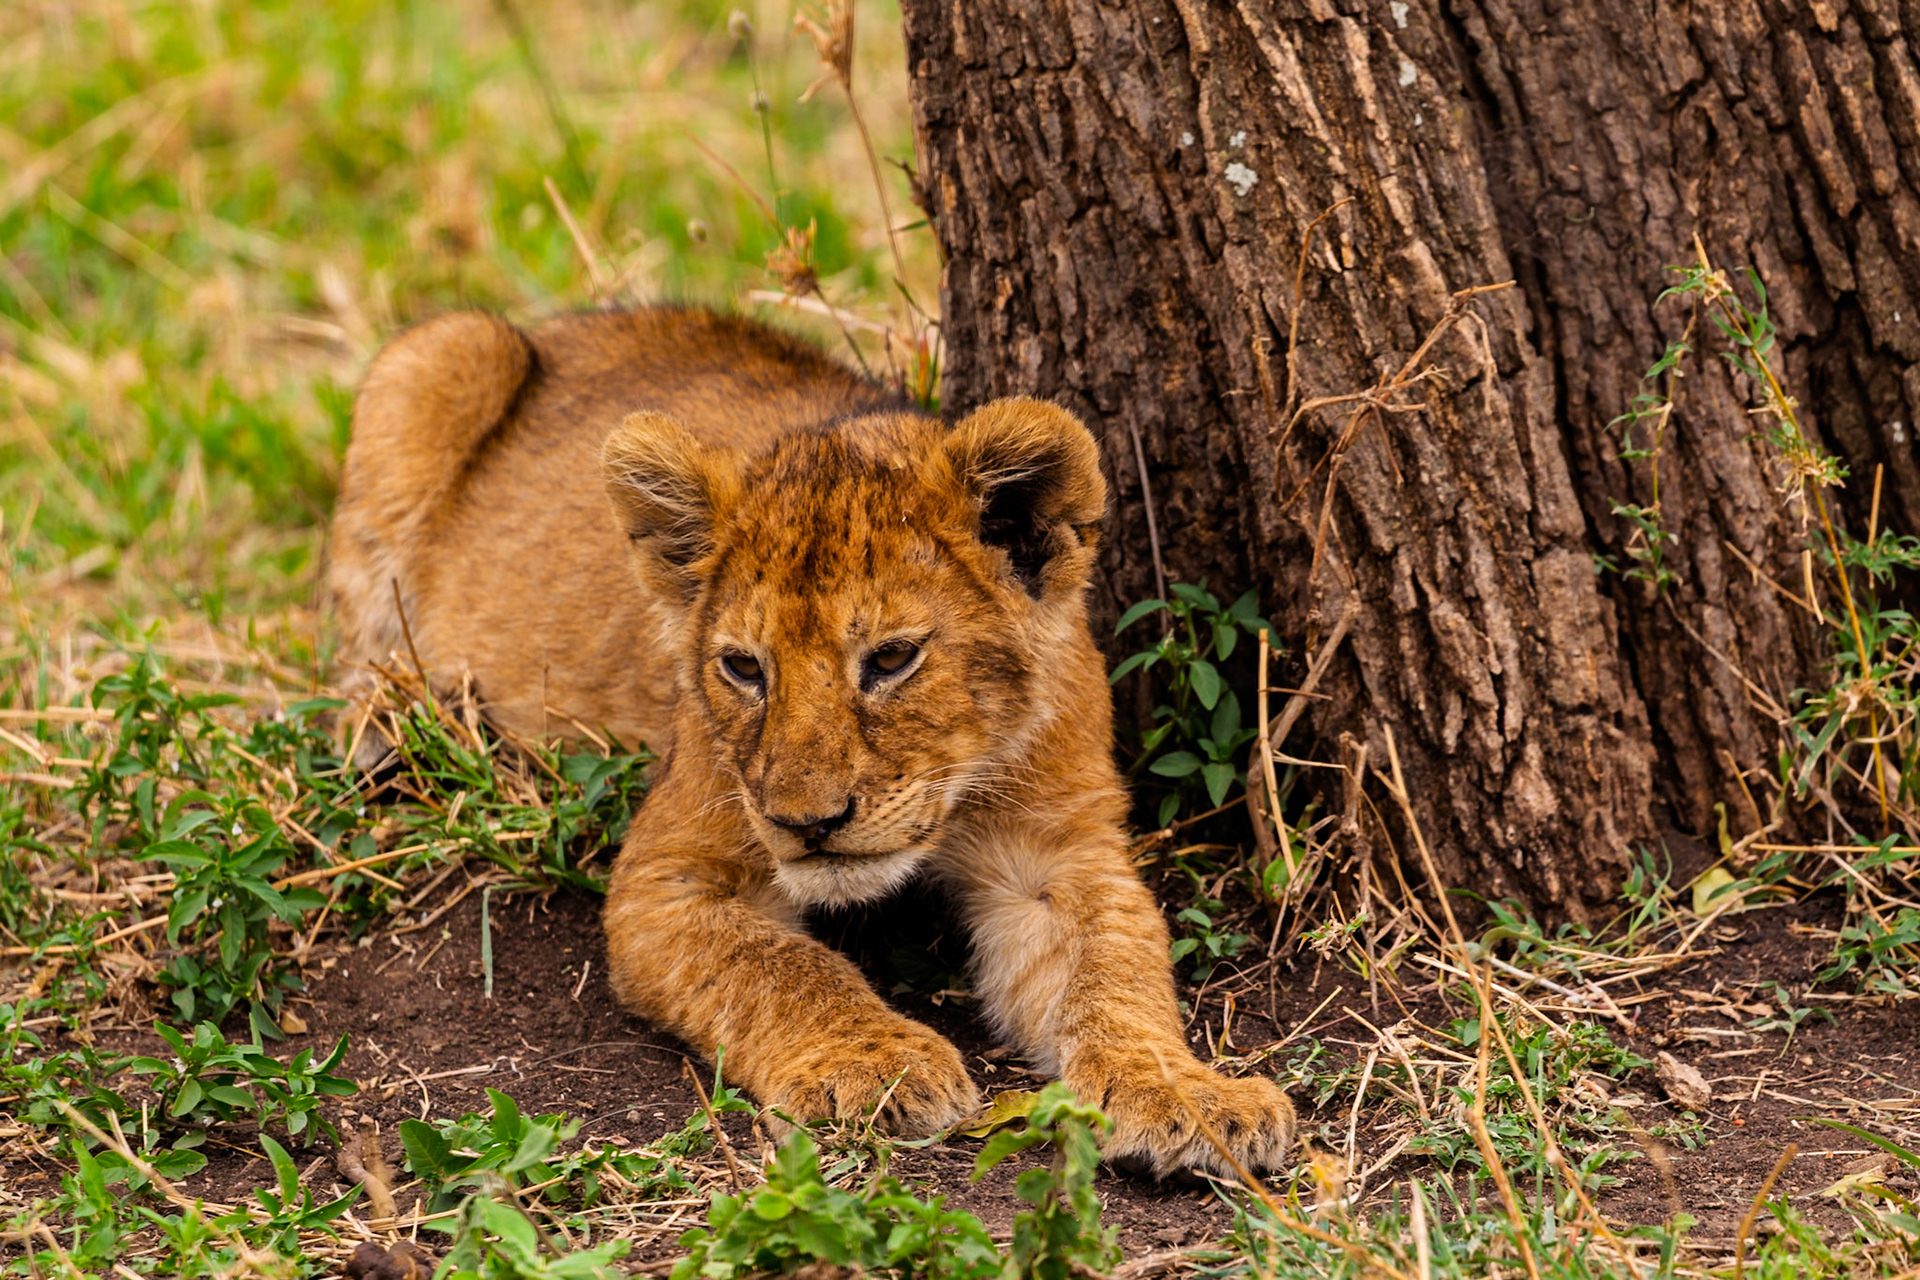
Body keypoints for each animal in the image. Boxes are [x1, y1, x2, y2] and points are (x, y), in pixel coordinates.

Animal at [328, 308, 1296, 1177]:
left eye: (893, 658)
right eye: (743, 668)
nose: (807, 823)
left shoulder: (1063, 854)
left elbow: (1118, 970)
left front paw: (1185, 1093)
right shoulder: (668, 877)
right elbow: (782, 965)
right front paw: (876, 1062)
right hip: (438, 358)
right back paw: (396, 725)